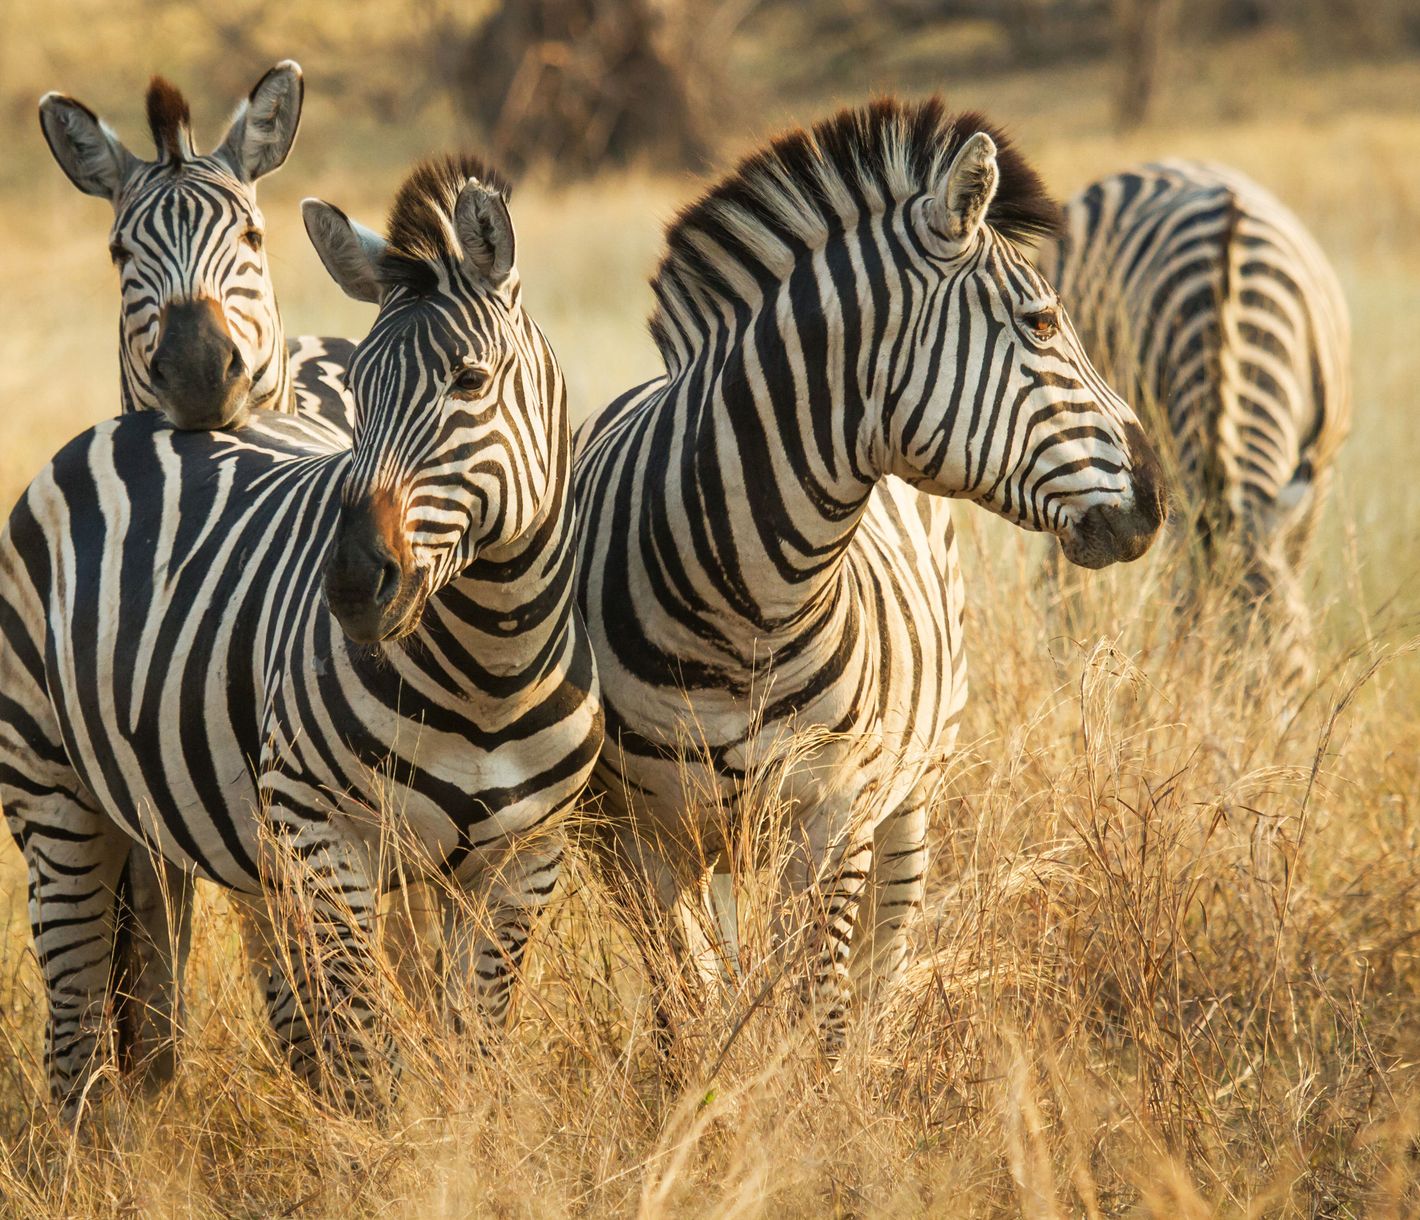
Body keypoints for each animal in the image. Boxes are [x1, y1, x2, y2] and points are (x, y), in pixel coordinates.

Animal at [0, 154, 601, 1117]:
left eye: (470, 382)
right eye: (360, 395)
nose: (351, 583)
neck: (491, 669)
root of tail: (133, 419)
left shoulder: (522, 857)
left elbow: (471, 1049)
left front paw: (469, 1140)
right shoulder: (324, 838)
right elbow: (370, 1056)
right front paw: (399, 1149)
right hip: (53, 795)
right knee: (75, 1020)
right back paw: (92, 1146)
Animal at [572, 99, 1166, 1046]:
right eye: (1041, 323)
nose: (1155, 495)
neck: (743, 605)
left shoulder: (835, 817)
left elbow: (816, 1011)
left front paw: (809, 1087)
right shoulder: (633, 839)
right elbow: (687, 1010)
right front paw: (709, 1082)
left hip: (913, 794)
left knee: (883, 959)